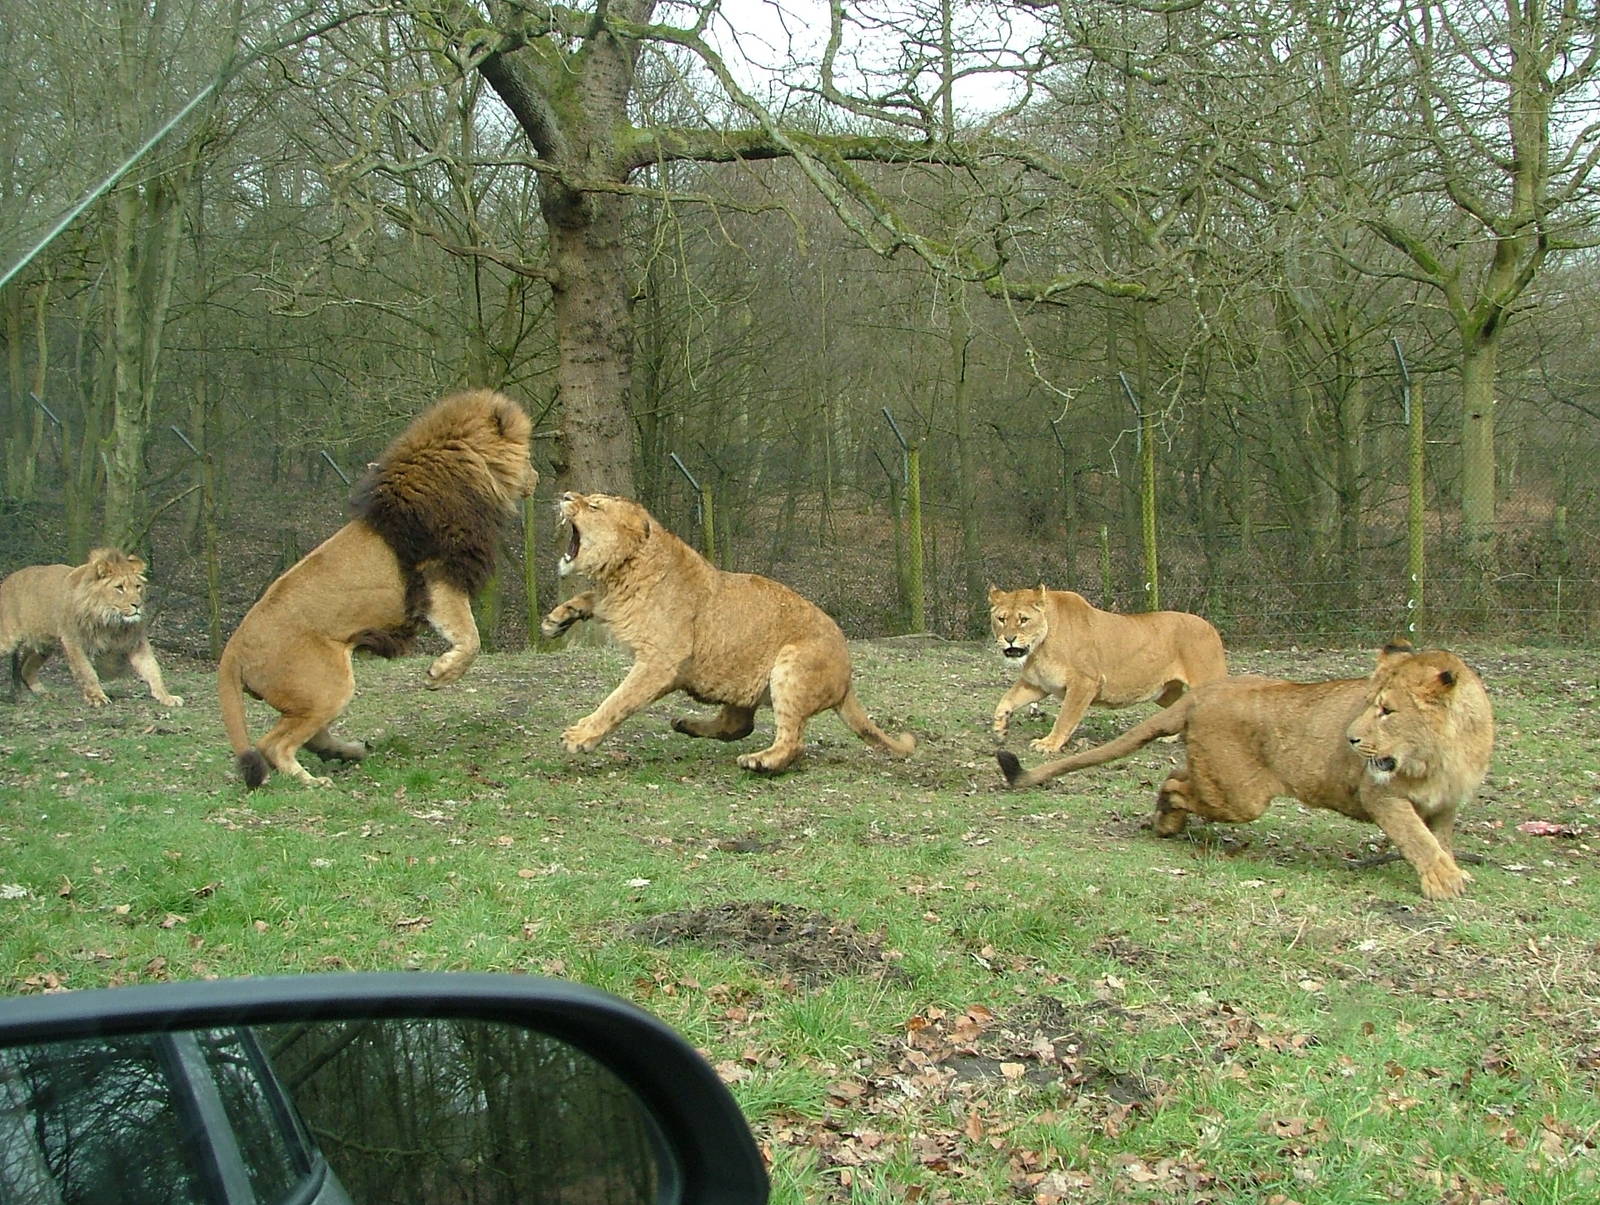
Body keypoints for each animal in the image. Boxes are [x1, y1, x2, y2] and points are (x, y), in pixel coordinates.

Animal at [0, 548, 183, 709]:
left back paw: (44, 694)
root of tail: (6, 581)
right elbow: (87, 671)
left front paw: (166, 697)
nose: (137, 605)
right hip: (9, 639)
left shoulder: (135, 641)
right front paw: (97, 698)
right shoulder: (73, 641)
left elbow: (152, 669)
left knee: (25, 669)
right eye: (119, 588)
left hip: (45, 645)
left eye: (137, 586)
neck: (110, 620)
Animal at [217, 389, 536, 788]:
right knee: (274, 744)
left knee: (305, 735)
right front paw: (440, 674)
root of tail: (233, 650)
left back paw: (347, 752)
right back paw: (313, 781)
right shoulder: (439, 579)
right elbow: (470, 639)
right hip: (328, 683)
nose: (538, 478)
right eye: (529, 455)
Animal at [541, 492, 914, 773]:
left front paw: (580, 737)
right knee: (739, 725)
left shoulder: (660, 662)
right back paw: (687, 724)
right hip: (742, 680)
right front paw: (556, 620)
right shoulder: (611, 603)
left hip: (791, 665)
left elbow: (618, 700)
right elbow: (588, 598)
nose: (566, 494)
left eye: (595, 506)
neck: (623, 572)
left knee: (792, 740)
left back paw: (760, 762)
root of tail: (848, 678)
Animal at [989, 585, 1227, 753]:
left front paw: (1049, 744)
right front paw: (1000, 730)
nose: (1009, 639)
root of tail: (1210, 627)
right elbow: (1006, 700)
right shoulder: (1037, 684)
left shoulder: (1085, 682)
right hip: (1164, 693)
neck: (1039, 648)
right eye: (1001, 619)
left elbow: (1065, 717)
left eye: (1023, 619)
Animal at [996, 642, 1494, 900]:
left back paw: (1167, 822)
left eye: (1387, 710)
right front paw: (1447, 882)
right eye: (1370, 704)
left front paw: (1449, 868)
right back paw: (1167, 822)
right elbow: (1417, 838)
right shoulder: (1380, 793)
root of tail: (1207, 691)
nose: (1350, 739)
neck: (1444, 751)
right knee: (1175, 782)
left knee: (1178, 775)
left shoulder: (1446, 804)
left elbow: (1438, 838)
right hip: (1241, 796)